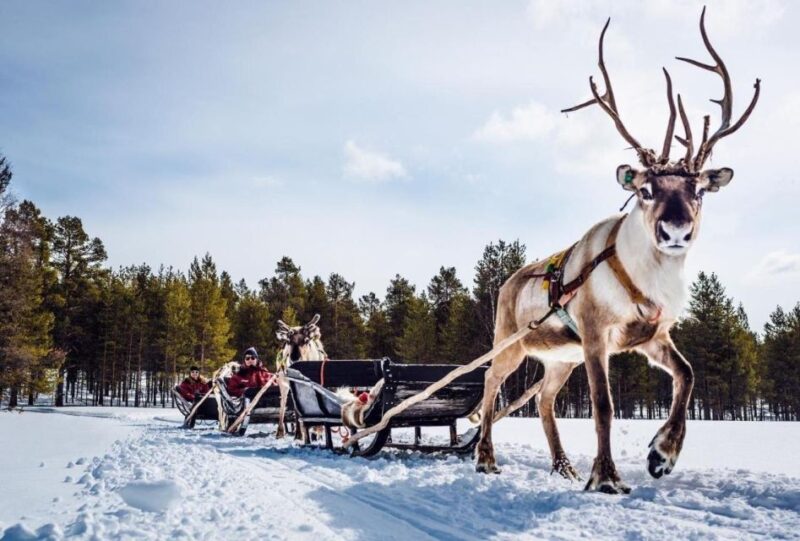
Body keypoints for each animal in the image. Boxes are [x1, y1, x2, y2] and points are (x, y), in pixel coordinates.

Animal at [474, 7, 760, 494]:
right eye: (645, 189)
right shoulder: (594, 333)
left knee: (544, 398)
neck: (647, 280)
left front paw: (661, 455)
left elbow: (688, 374)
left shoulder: (652, 335)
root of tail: (507, 281)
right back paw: (485, 457)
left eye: (700, 190)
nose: (676, 229)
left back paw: (563, 466)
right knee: (491, 382)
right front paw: (606, 477)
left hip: (560, 359)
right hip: (511, 339)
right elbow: (603, 405)